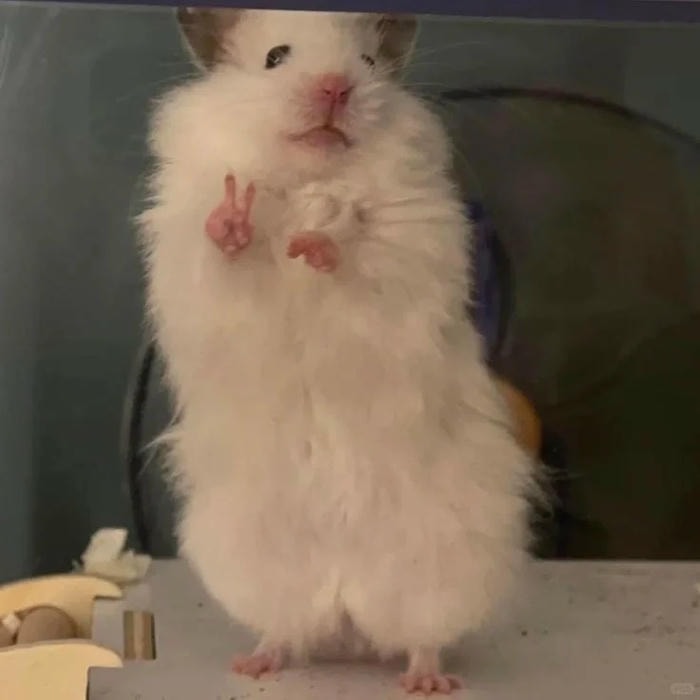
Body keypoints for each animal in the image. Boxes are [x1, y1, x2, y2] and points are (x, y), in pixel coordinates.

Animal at [140, 8, 536, 695]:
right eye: (275, 57)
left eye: (369, 63)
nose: (336, 87)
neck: (311, 171)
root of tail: (347, 610)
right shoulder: (193, 255)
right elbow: (223, 248)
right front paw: (244, 220)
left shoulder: (414, 245)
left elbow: (362, 256)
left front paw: (319, 238)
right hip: (254, 559)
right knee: (289, 626)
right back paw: (255, 661)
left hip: (445, 563)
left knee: (421, 636)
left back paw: (426, 680)